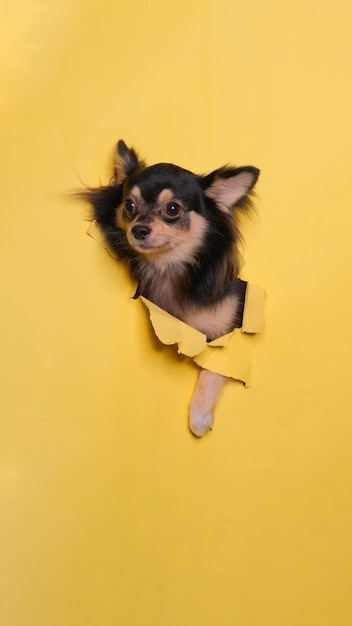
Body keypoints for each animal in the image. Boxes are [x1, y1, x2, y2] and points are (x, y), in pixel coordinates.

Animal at [80, 140, 258, 434]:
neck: (168, 268)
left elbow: (214, 369)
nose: (138, 229)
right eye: (129, 205)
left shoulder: (229, 331)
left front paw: (199, 414)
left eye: (173, 209)